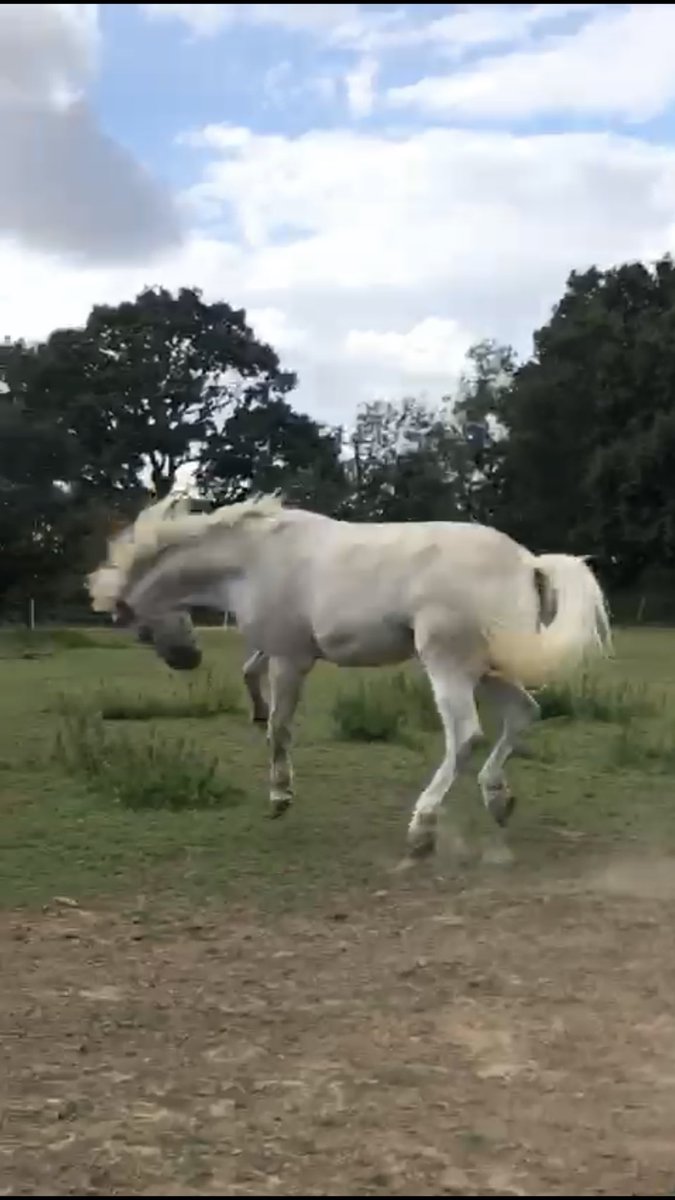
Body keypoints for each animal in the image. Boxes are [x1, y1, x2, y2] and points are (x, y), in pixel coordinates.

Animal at [87, 493, 611, 862]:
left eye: (131, 622)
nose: (187, 659)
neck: (253, 560)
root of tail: (529, 563)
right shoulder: (280, 652)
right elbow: (262, 697)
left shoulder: (290, 657)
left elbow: (279, 727)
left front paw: (280, 795)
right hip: (490, 667)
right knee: (523, 714)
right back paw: (497, 799)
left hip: (448, 663)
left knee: (465, 735)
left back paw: (422, 830)